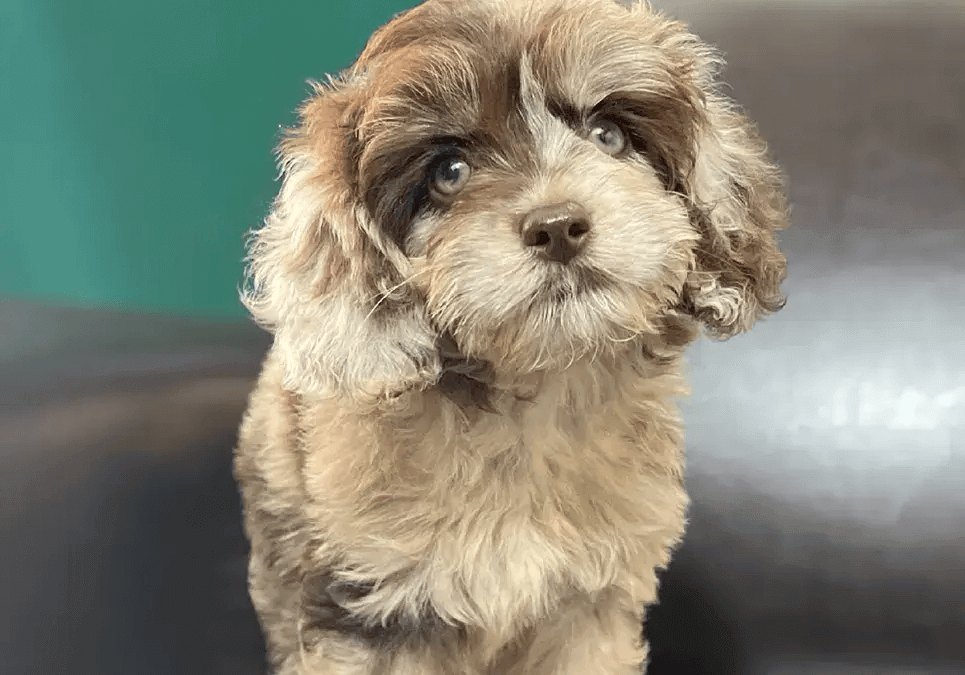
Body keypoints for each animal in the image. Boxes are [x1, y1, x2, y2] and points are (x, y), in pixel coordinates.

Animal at [235, 1, 792, 672]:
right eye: (449, 172)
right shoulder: (371, 608)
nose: (557, 226)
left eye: (608, 135)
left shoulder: (589, 609)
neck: (527, 400)